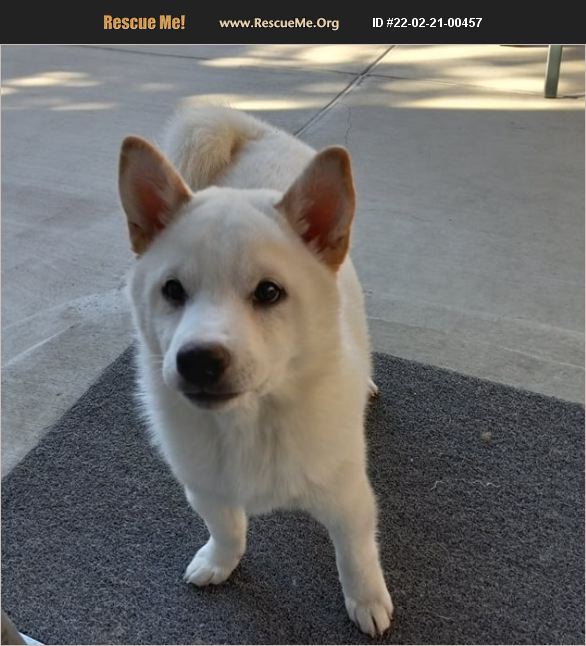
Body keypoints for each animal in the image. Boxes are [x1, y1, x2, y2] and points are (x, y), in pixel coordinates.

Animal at [117, 106, 392, 636]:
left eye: (269, 292)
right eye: (172, 290)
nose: (198, 360)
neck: (251, 421)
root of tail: (251, 131)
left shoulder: (349, 498)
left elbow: (356, 557)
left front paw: (366, 601)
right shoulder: (205, 488)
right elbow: (227, 529)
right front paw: (219, 562)